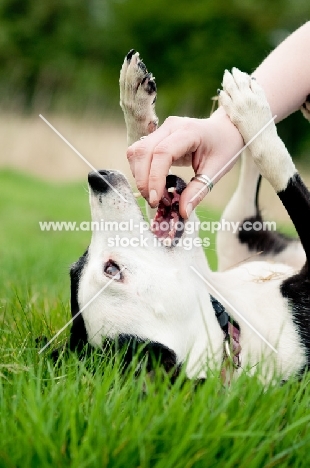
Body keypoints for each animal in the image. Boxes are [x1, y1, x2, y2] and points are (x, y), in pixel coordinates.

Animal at [67, 49, 310, 382]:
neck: (233, 327)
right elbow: (281, 171)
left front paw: (136, 103)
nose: (96, 179)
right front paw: (250, 109)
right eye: (112, 270)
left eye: (75, 267)